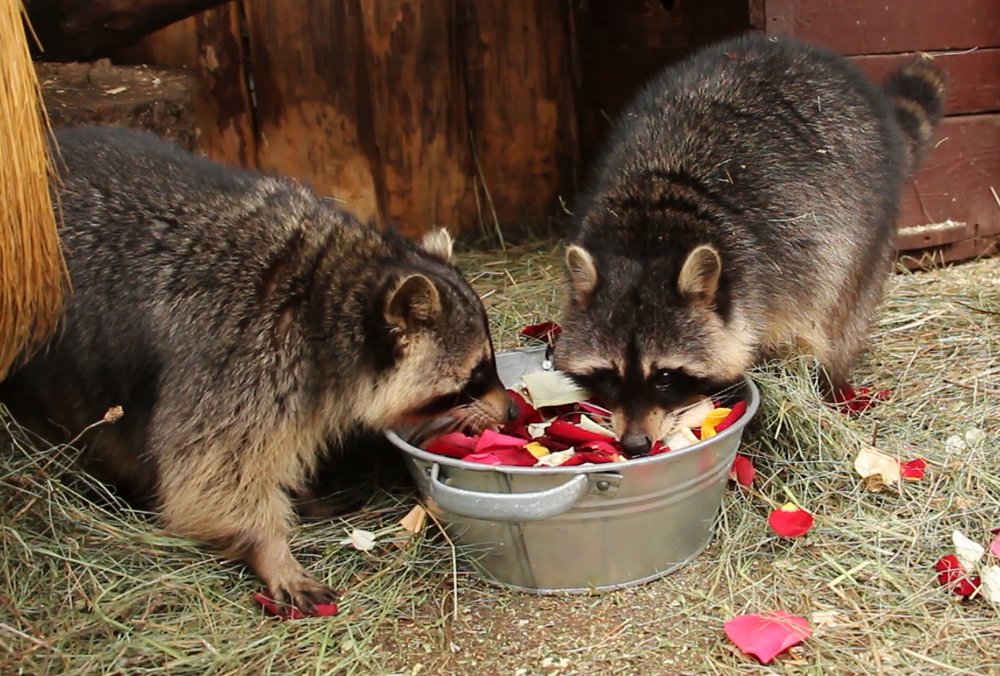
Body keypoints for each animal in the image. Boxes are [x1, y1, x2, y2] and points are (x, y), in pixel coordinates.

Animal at [0, 125, 516, 612]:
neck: (330, 290)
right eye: (475, 375)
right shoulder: (232, 357)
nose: (511, 410)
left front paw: (302, 497)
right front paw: (270, 548)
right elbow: (212, 469)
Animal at [556, 31, 944, 454]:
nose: (635, 444)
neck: (650, 229)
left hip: (866, 214)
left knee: (845, 311)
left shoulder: (785, 266)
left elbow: (801, 338)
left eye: (664, 376)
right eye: (609, 376)